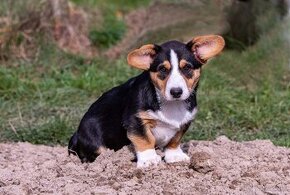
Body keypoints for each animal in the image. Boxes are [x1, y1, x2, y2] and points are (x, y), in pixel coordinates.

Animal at [68, 34, 224, 168]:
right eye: (162, 69)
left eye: (187, 68)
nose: (176, 92)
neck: (171, 105)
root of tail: (77, 135)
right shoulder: (135, 119)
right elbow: (145, 139)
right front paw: (149, 159)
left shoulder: (185, 122)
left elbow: (175, 139)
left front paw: (175, 156)